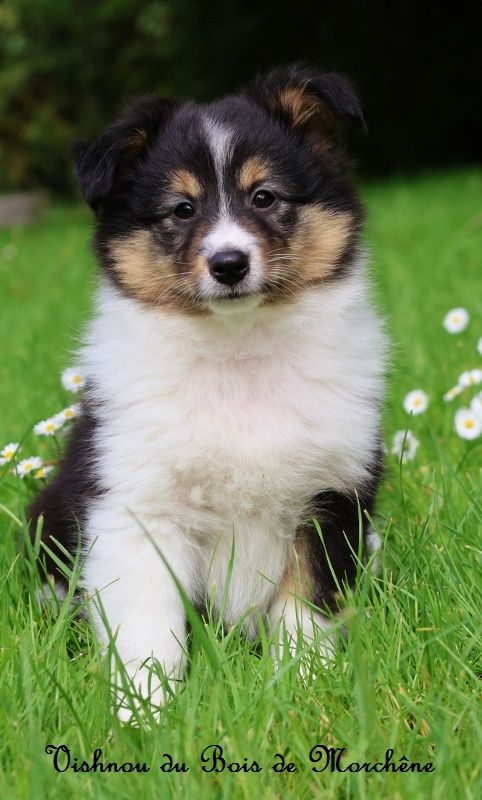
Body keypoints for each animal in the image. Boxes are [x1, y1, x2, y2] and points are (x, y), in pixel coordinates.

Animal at [30, 65, 386, 720]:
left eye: (264, 196)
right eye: (181, 208)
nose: (228, 263)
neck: (236, 349)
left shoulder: (328, 494)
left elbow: (306, 607)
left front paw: (304, 689)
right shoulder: (137, 505)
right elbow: (147, 624)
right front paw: (145, 713)